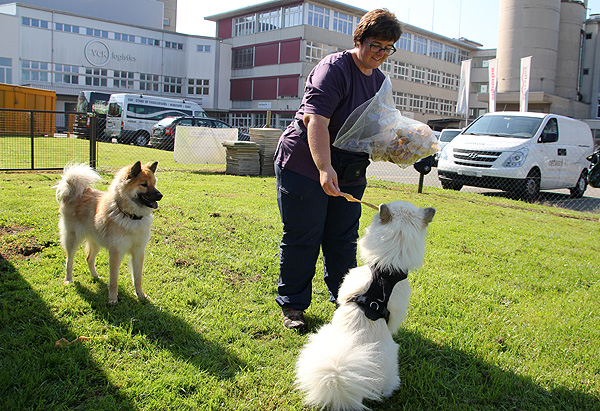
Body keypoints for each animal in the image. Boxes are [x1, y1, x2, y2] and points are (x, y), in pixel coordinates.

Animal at [54, 163, 161, 304]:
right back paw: (68, 279)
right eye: (144, 184)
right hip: (73, 239)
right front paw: (113, 299)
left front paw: (141, 296)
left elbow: (138, 278)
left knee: (89, 259)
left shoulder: (138, 252)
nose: (160, 195)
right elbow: (114, 280)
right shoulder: (116, 252)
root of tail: (73, 192)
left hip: (95, 242)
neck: (130, 217)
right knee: (69, 260)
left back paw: (96, 276)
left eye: (154, 183)